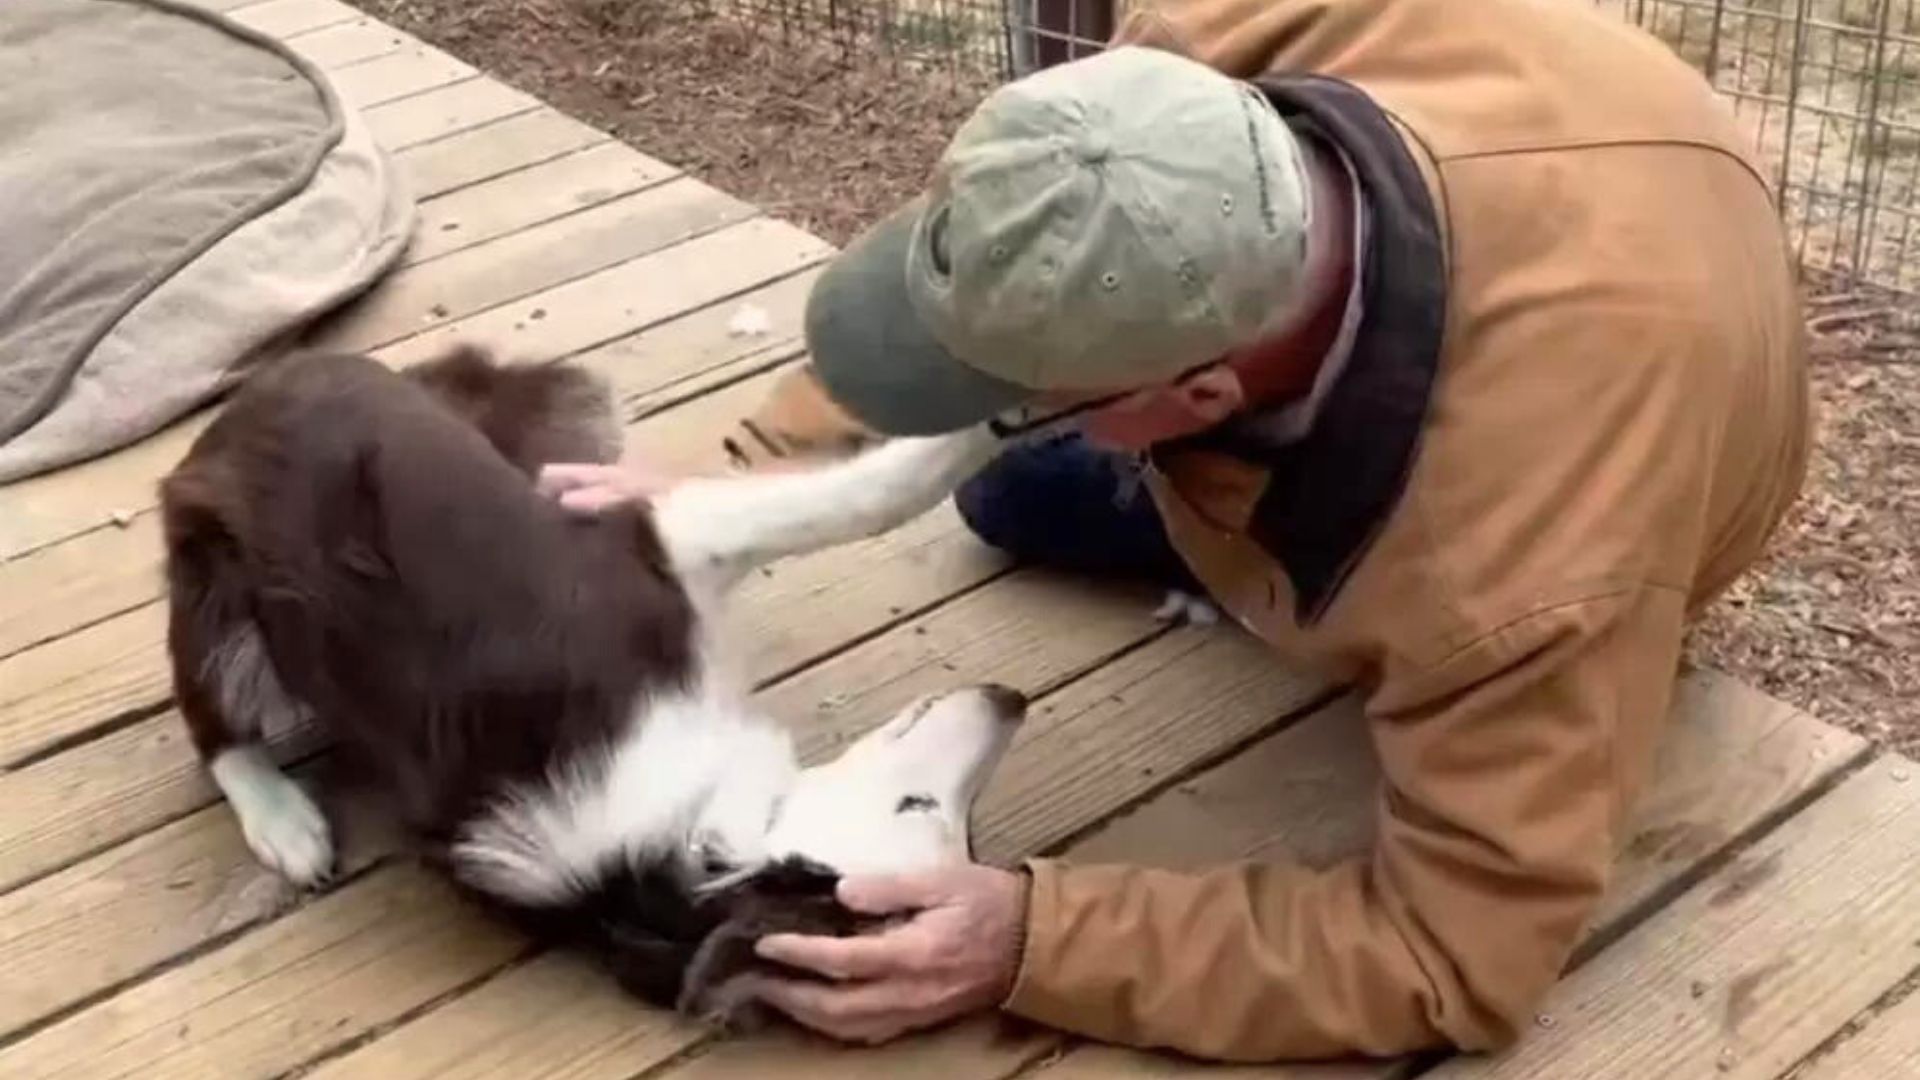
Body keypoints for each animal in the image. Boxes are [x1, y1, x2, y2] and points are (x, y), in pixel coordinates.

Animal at [161, 342, 1021, 1014]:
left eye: (971, 835)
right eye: (921, 806)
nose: (1010, 698)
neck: (681, 837)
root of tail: (270, 382)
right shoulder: (666, 540)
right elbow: (866, 496)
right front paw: (993, 413)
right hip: (218, 603)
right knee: (212, 726)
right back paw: (283, 822)